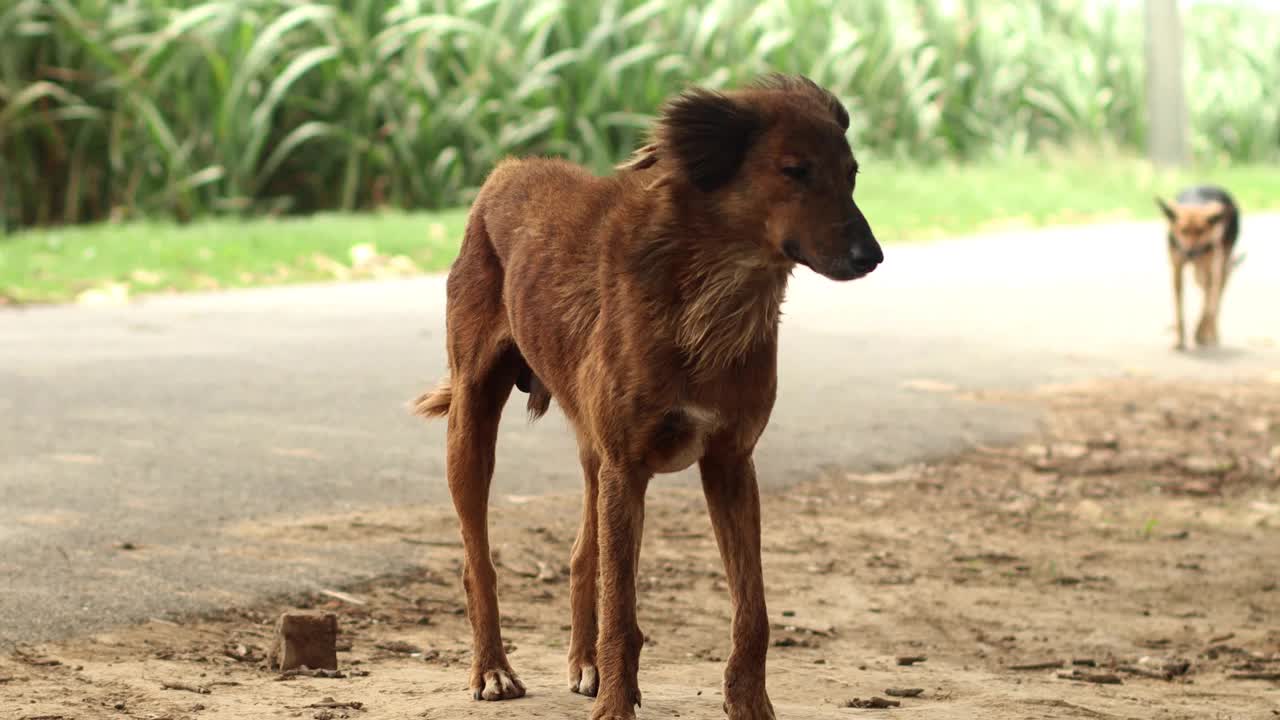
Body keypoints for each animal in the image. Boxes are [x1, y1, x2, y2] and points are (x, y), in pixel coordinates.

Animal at [417, 74, 880, 717]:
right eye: (795, 170)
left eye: (852, 173)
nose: (872, 256)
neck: (713, 293)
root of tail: (508, 169)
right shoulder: (629, 465)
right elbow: (622, 612)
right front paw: (615, 705)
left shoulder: (729, 463)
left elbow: (752, 613)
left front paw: (748, 704)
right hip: (473, 421)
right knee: (477, 561)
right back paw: (492, 669)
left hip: (594, 453)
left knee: (581, 555)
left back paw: (584, 663)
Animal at [1162, 184, 1239, 351]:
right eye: (1182, 230)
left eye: (1201, 231)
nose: (1189, 253)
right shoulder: (1177, 270)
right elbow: (1179, 308)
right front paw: (1179, 340)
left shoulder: (1211, 269)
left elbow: (1208, 305)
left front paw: (1200, 334)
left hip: (1220, 264)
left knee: (1215, 298)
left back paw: (1209, 333)